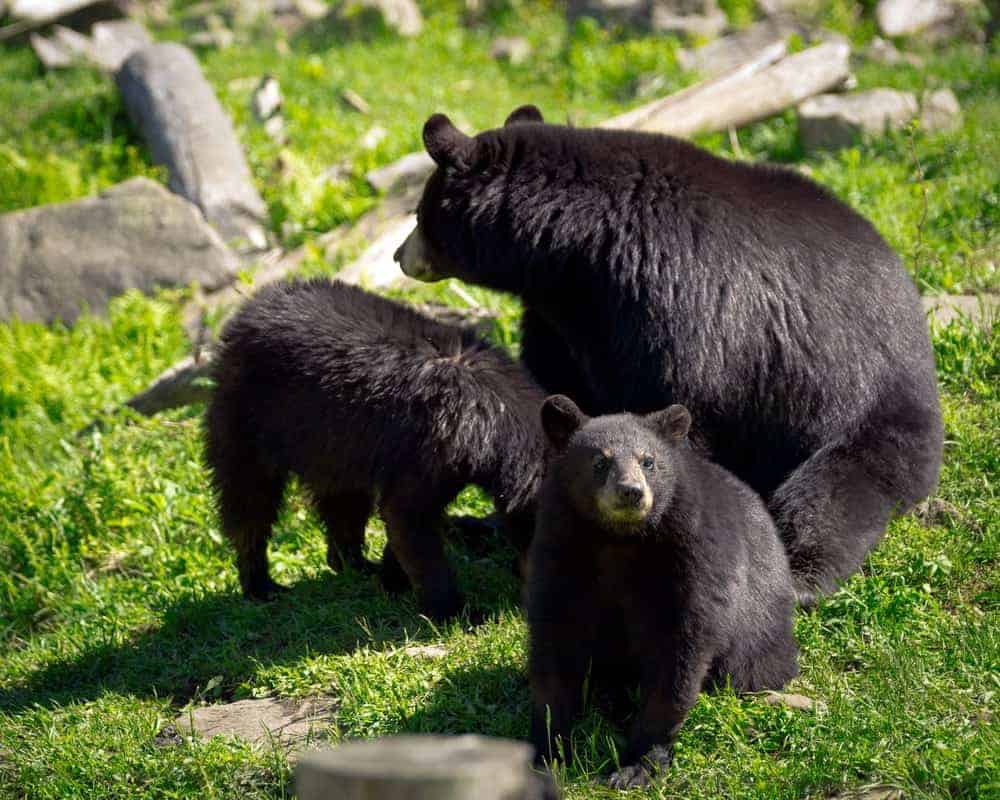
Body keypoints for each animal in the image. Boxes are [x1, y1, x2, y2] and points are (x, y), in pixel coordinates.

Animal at [205, 280, 548, 620]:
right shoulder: (435, 444)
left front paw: (391, 579)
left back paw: (354, 564)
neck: (495, 412)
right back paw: (261, 585)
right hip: (247, 417)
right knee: (250, 499)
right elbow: (409, 515)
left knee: (345, 503)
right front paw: (454, 611)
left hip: (333, 443)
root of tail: (247, 310)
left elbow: (403, 520)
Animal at [394, 106, 940, 608]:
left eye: (419, 215)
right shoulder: (566, 318)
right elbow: (558, 397)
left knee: (831, 497)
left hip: (860, 411)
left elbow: (672, 406)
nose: (400, 255)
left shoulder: (673, 301)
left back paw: (801, 575)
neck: (575, 253)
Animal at [528, 394, 800, 788]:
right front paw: (548, 749)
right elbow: (555, 638)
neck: (619, 540)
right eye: (600, 461)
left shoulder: (690, 557)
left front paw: (637, 764)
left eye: (648, 461)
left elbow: (680, 648)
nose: (631, 492)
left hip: (760, 625)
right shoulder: (560, 548)